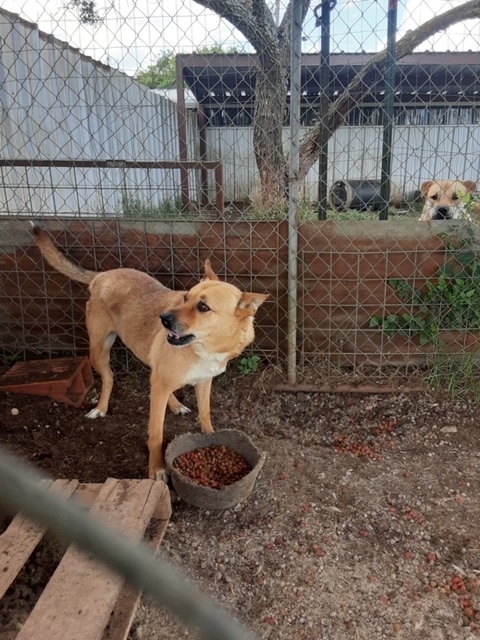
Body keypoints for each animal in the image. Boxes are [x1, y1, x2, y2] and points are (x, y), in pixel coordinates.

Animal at [31, 225, 268, 480]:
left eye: (203, 307)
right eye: (185, 297)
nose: (163, 319)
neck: (206, 349)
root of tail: (103, 275)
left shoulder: (203, 381)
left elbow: (205, 414)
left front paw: (210, 436)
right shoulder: (162, 385)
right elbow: (156, 434)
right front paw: (156, 468)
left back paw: (174, 404)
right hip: (98, 350)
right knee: (109, 376)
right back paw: (101, 408)